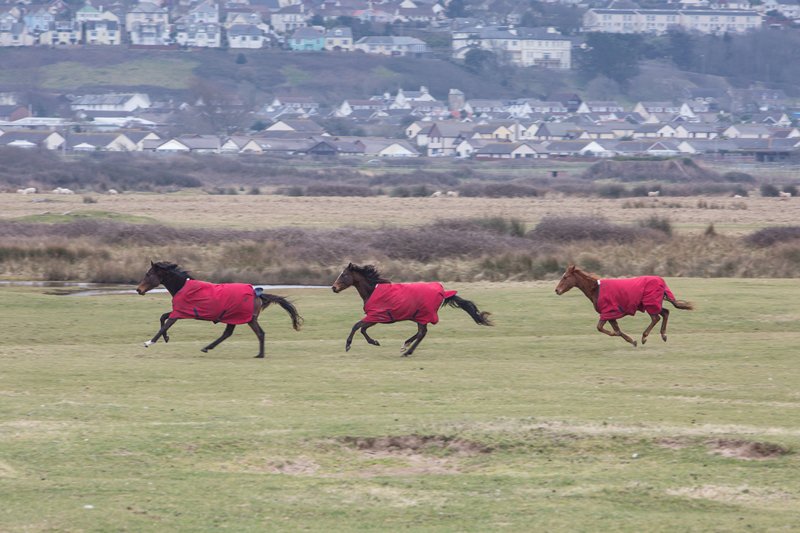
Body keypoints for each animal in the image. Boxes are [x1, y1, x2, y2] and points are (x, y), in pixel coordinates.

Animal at [136, 260, 302, 358]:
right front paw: (166, 338)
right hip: (235, 318)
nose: (138, 290)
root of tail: (256, 293)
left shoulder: (179, 313)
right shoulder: (181, 311)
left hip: (244, 318)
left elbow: (164, 325)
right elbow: (163, 317)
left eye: (148, 274)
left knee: (258, 333)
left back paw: (259, 355)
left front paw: (149, 342)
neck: (183, 286)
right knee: (232, 333)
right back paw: (208, 347)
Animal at [332, 260, 494, 356]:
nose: (334, 288)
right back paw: (405, 345)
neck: (373, 290)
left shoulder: (376, 316)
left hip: (422, 315)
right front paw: (375, 342)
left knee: (422, 333)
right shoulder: (376, 318)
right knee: (421, 332)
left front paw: (348, 345)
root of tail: (443, 292)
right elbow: (362, 328)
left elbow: (357, 326)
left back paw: (407, 351)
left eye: (344, 275)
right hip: (418, 316)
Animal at [552, 264, 692, 348]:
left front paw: (631, 339)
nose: (557, 290)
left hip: (650, 304)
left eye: (565, 277)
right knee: (665, 312)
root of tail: (660, 281)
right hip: (652, 304)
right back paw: (663, 335)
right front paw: (632, 341)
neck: (596, 289)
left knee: (656, 318)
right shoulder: (610, 315)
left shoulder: (608, 312)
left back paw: (644, 336)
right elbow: (616, 330)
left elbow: (602, 328)